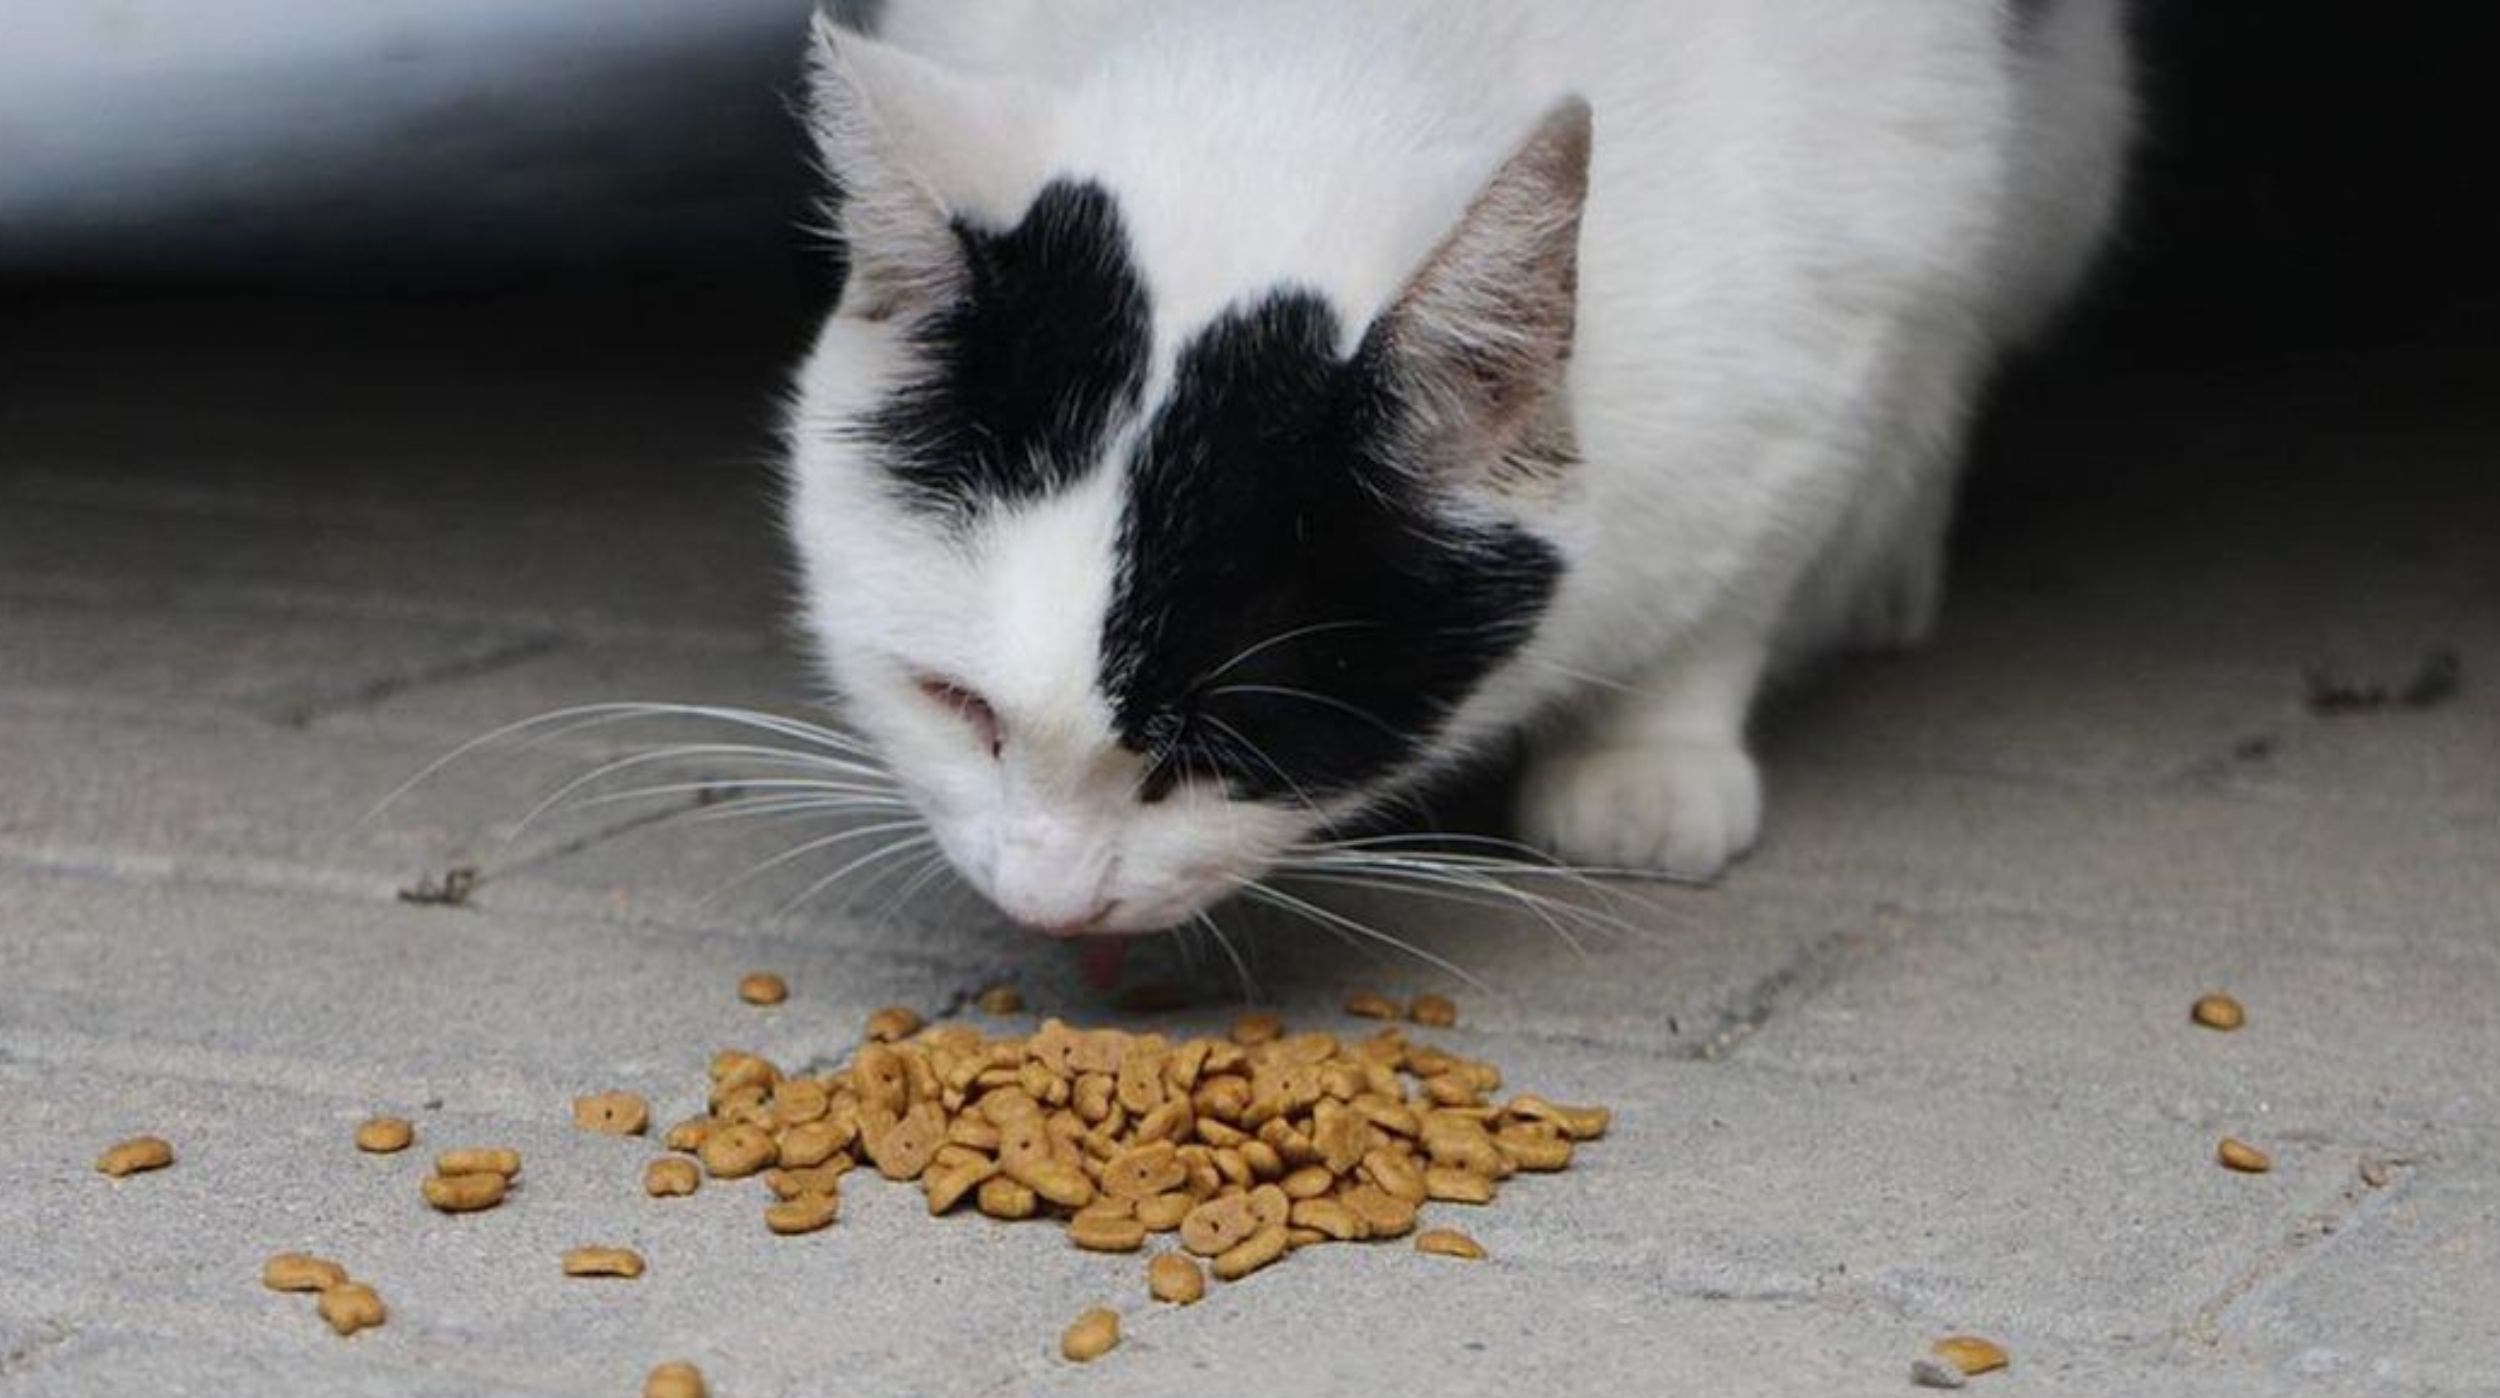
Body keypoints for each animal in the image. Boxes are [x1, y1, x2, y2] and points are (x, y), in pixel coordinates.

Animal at [775, 2, 2130, 940]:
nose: (1049, 906)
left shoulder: (1846, 311)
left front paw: (1650, 755)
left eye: (1223, 749)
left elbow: (1745, 566)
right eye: (955, 703)